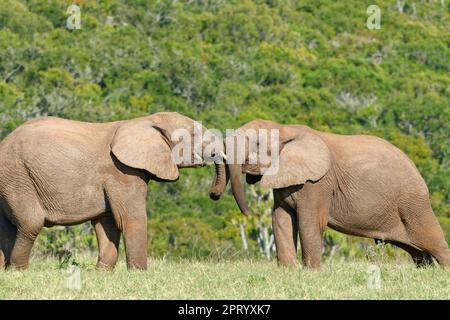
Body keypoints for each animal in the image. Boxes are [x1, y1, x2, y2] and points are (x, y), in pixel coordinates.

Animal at [0, 112, 225, 270]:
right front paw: (138, 274)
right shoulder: (122, 172)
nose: (214, 195)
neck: (144, 121)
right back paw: (19, 270)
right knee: (30, 223)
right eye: (193, 135)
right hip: (17, 177)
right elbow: (130, 219)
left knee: (7, 226)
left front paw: (101, 272)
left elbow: (106, 222)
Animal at [211, 119, 450, 268]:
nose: (214, 195)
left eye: (257, 143)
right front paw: (287, 271)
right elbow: (281, 219)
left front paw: (311, 273)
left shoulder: (317, 183)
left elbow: (309, 222)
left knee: (434, 241)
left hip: (413, 204)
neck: (285, 128)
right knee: (418, 252)